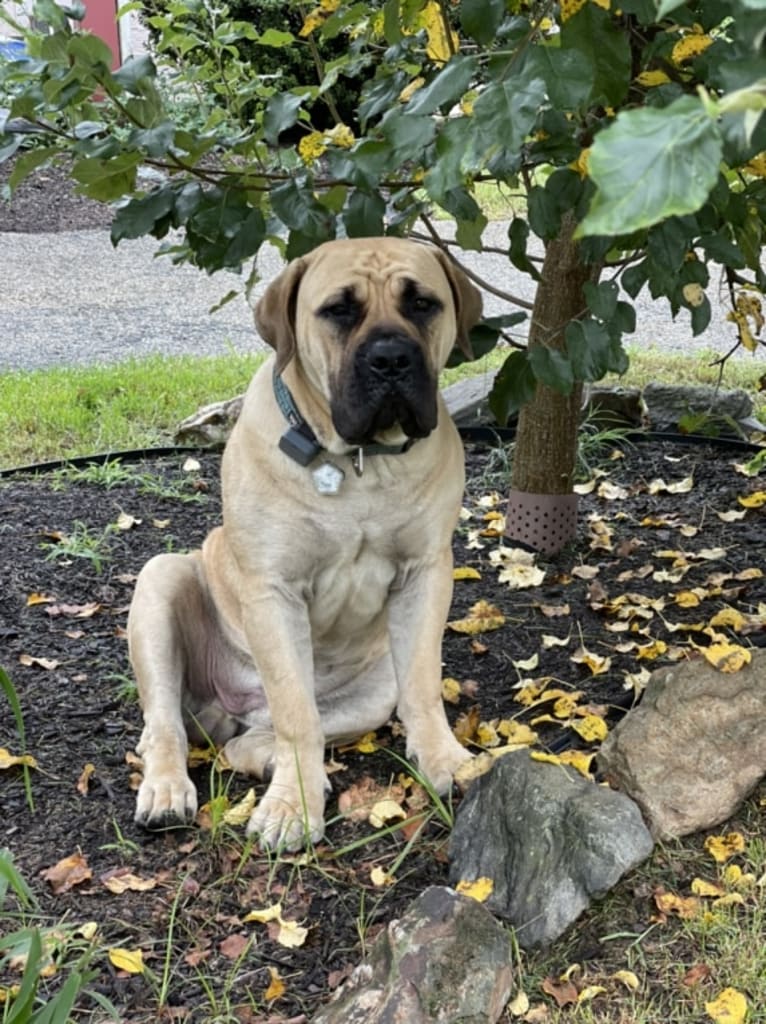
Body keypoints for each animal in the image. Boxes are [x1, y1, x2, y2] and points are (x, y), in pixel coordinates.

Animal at [128, 235, 481, 851]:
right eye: (338, 310)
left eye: (422, 304)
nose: (391, 358)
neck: (360, 460)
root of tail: (228, 707)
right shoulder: (273, 591)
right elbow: (298, 715)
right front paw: (292, 807)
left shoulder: (426, 573)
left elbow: (423, 688)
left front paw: (445, 762)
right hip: (161, 580)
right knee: (165, 724)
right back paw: (168, 789)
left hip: (373, 690)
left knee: (249, 740)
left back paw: (267, 757)